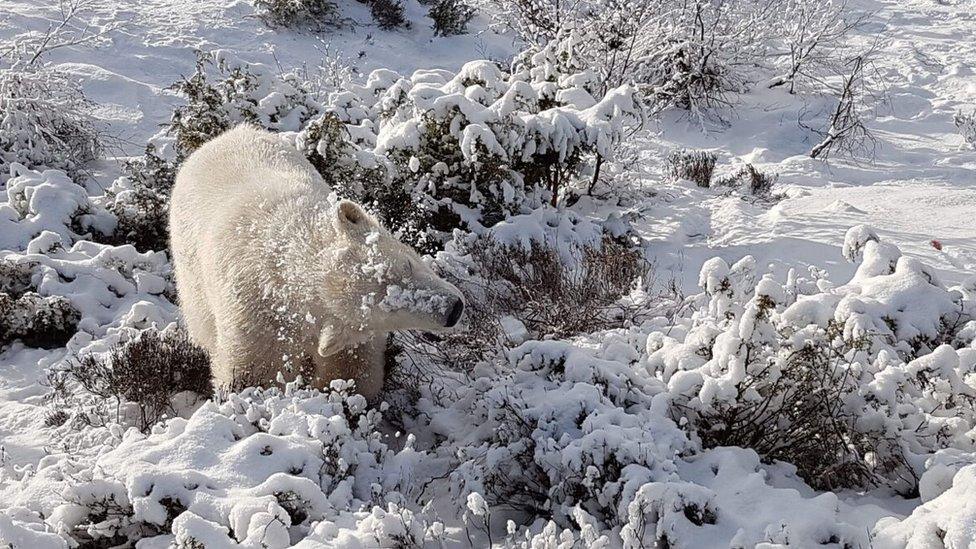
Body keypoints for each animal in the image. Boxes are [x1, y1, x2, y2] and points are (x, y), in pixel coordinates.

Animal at [169, 124, 466, 398]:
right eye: (388, 309)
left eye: (407, 265)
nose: (453, 309)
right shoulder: (258, 321)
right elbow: (255, 373)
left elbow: (351, 367)